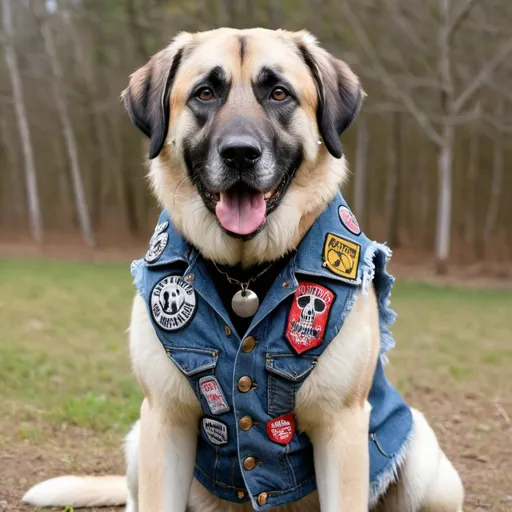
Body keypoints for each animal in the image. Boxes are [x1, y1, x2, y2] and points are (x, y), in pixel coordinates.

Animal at [23, 28, 464, 512]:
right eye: (205, 93)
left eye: (278, 93)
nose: (239, 154)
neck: (245, 273)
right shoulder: (164, 419)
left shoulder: (342, 427)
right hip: (139, 442)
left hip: (423, 460)